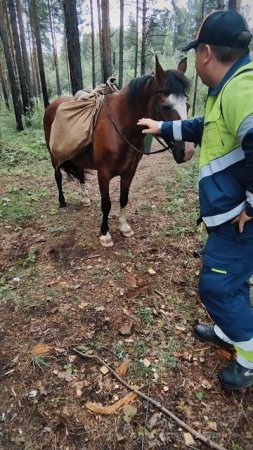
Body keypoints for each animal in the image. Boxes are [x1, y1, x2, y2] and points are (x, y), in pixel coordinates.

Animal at [44, 57, 192, 248]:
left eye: (187, 105)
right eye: (166, 106)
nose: (187, 151)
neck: (121, 128)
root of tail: (52, 106)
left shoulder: (129, 172)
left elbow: (123, 198)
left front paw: (124, 227)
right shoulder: (104, 173)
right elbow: (106, 203)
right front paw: (105, 234)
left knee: (80, 174)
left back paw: (85, 198)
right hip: (55, 156)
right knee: (58, 176)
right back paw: (62, 202)